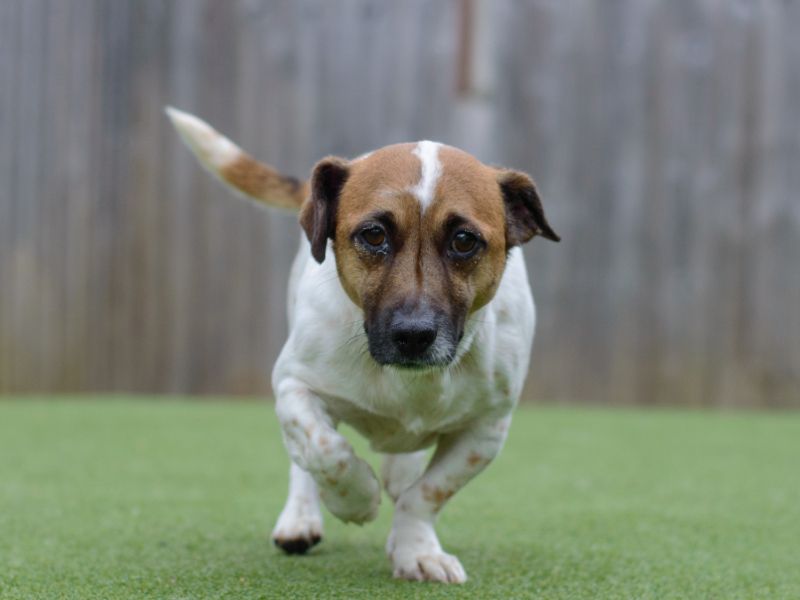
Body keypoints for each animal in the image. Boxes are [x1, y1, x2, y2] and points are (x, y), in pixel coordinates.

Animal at [166, 106, 560, 580]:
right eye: (374, 234)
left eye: (464, 240)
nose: (413, 335)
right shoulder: (294, 385)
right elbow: (325, 451)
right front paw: (354, 499)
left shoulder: (487, 428)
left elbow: (429, 492)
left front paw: (416, 550)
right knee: (302, 459)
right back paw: (301, 518)